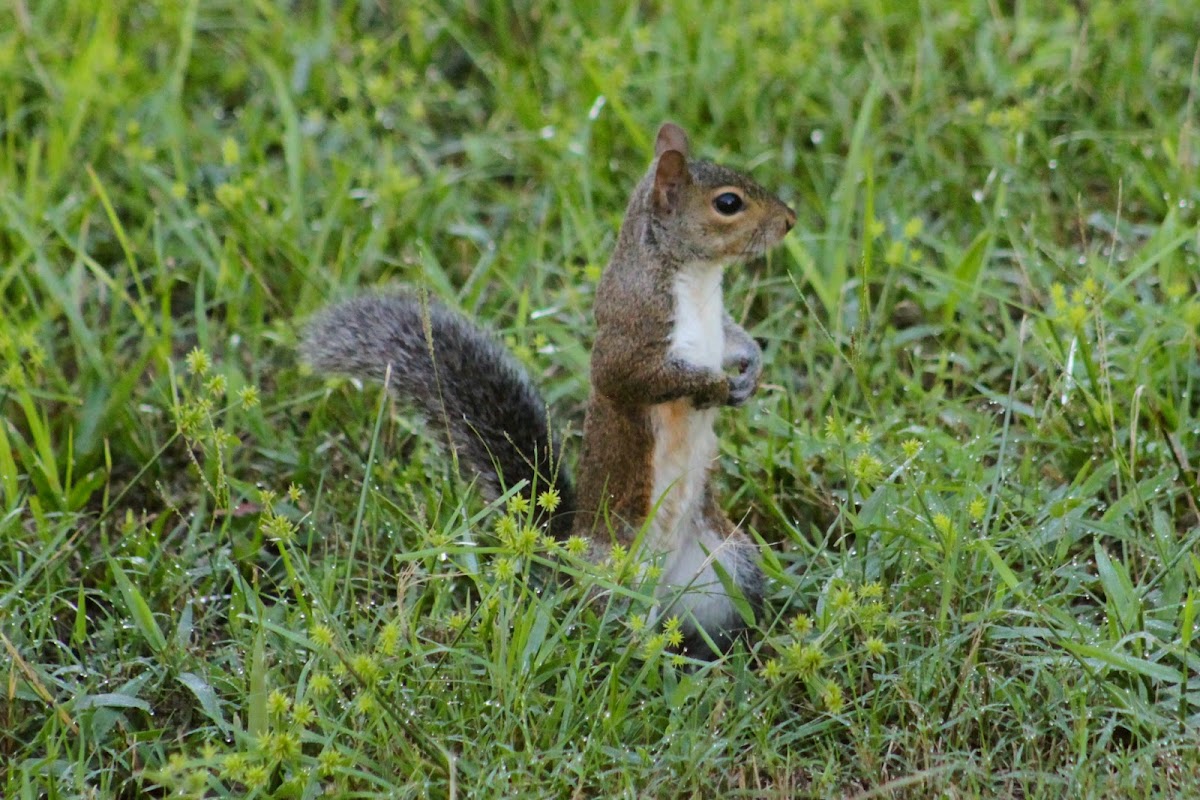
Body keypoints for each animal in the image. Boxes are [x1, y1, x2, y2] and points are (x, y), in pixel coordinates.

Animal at [302, 120, 796, 657]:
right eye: (728, 203)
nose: (790, 220)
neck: (698, 280)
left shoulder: (716, 324)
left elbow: (734, 338)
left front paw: (750, 370)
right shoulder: (630, 332)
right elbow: (632, 377)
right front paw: (714, 385)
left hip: (730, 563)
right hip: (617, 575)